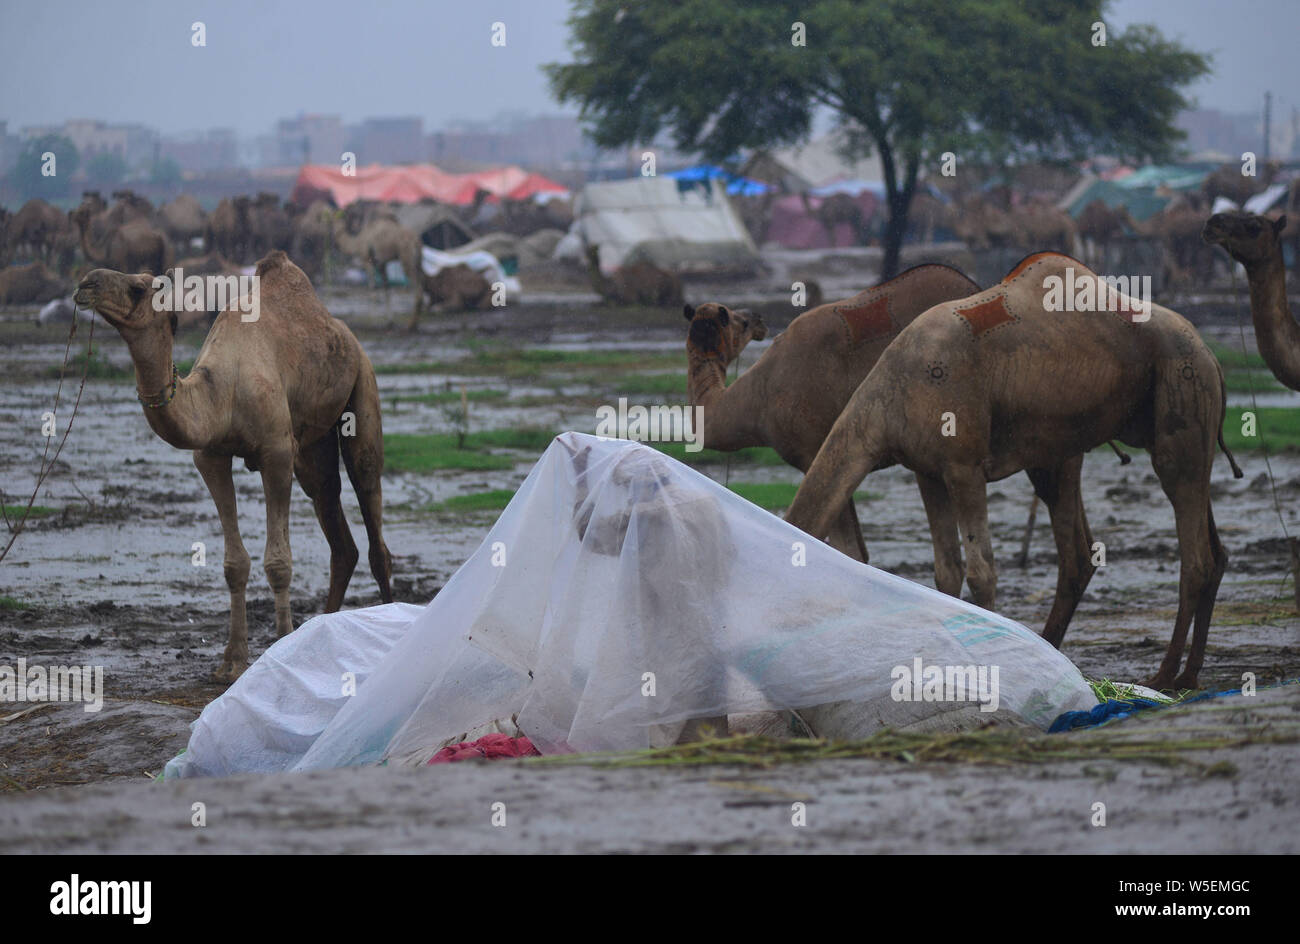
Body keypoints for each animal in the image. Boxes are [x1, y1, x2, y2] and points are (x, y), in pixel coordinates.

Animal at [71, 250, 390, 681]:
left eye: (138, 287)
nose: (85, 283)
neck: (222, 394)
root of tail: (345, 333)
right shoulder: (211, 457)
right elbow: (234, 564)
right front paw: (232, 661)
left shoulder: (276, 452)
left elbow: (278, 561)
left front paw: (279, 644)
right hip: (312, 448)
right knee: (337, 525)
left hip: (362, 387)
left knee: (372, 512)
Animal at [780, 253, 1237, 696]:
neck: (890, 395)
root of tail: (1211, 354)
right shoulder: (928, 472)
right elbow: (946, 571)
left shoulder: (963, 465)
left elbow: (981, 572)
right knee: (1211, 550)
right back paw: (1187, 673)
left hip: (1182, 392)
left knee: (1192, 551)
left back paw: (1164, 675)